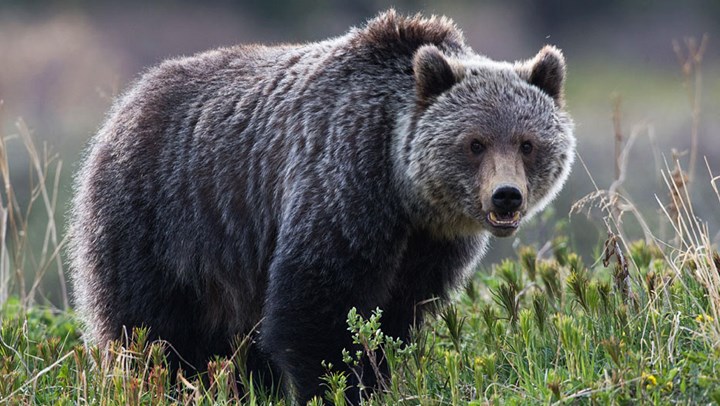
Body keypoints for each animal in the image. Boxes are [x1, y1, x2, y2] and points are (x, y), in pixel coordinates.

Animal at [70, 8, 576, 402]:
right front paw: (338, 387)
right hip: (158, 220)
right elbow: (316, 308)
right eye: (474, 143)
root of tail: (124, 104)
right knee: (147, 332)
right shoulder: (341, 187)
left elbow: (395, 319)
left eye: (527, 143)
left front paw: (377, 377)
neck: (404, 193)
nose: (506, 195)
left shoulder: (429, 246)